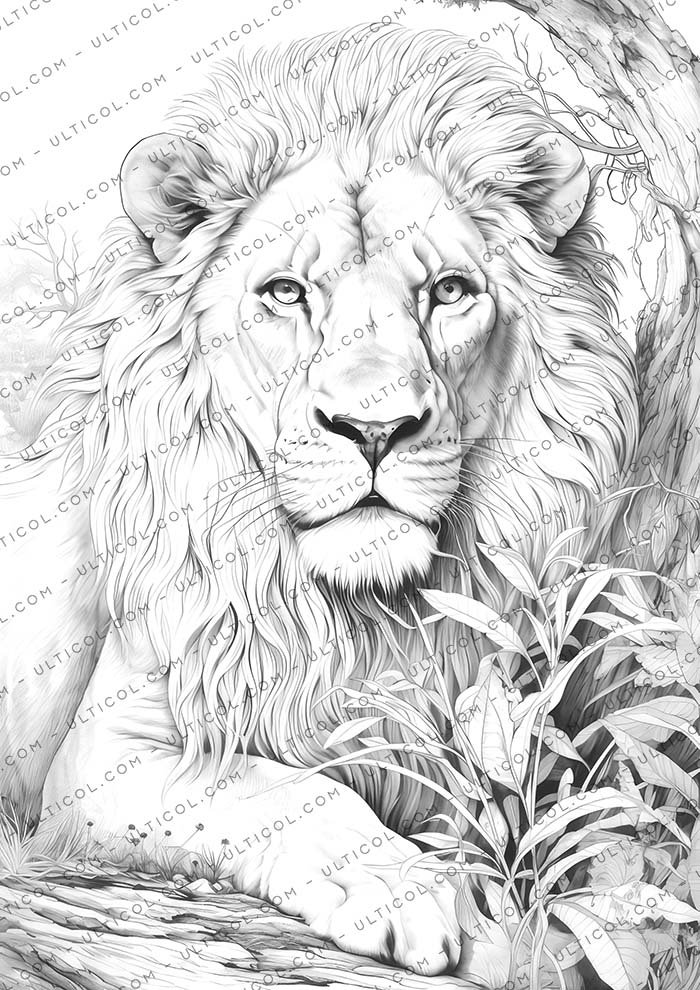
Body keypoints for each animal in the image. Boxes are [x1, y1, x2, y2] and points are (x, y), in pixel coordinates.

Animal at [0, 25, 637, 975]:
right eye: (285, 293)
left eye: (450, 290)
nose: (373, 428)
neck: (360, 611)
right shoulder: (94, 765)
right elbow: (270, 787)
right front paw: (401, 890)